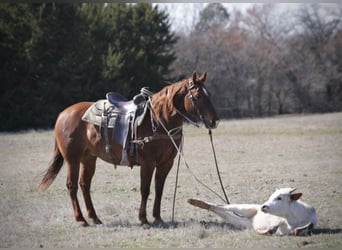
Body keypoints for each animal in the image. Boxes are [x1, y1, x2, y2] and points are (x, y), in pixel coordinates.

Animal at [37, 71, 219, 228]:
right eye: (198, 96)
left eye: (209, 94)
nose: (214, 121)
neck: (159, 120)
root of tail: (63, 114)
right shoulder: (148, 163)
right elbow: (145, 190)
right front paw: (143, 220)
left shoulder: (166, 164)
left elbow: (159, 189)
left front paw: (158, 218)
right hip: (72, 159)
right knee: (72, 185)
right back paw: (81, 219)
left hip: (89, 159)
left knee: (84, 184)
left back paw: (94, 217)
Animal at [188, 188, 316, 236]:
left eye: (279, 198)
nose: (264, 206)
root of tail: (251, 219)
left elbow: (307, 226)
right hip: (245, 208)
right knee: (225, 207)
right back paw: (196, 202)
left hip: (243, 222)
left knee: (223, 213)